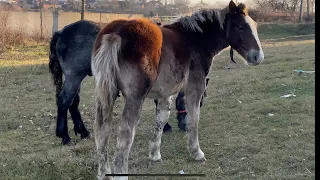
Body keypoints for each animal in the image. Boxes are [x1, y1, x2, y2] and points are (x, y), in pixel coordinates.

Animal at [47, 19, 208, 144]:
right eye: (199, 102)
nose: (185, 126)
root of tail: (62, 32)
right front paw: (166, 125)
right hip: (74, 76)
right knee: (64, 101)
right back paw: (65, 136)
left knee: (73, 103)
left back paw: (83, 132)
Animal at [91, 1, 264, 179]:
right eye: (240, 27)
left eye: (254, 26)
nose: (258, 57)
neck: (195, 40)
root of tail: (116, 33)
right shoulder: (195, 86)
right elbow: (193, 118)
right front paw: (196, 152)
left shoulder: (165, 93)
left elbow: (161, 119)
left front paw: (155, 154)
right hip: (135, 98)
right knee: (125, 133)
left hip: (106, 93)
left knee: (102, 130)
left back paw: (104, 174)